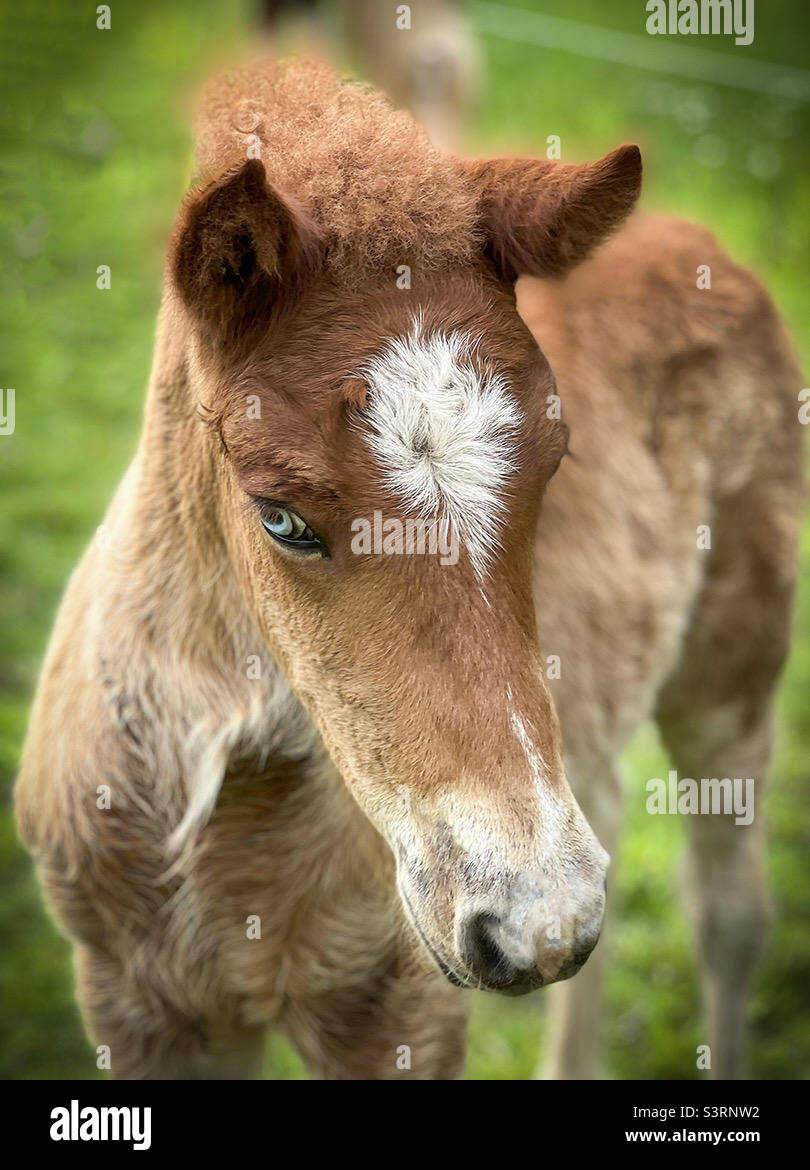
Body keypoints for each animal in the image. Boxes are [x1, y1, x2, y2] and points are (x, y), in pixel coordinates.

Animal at [16, 57, 803, 1079]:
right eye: (280, 518)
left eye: (556, 462)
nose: (534, 918)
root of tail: (702, 242)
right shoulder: (134, 1003)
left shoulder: (399, 1011)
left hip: (731, 671)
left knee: (728, 913)